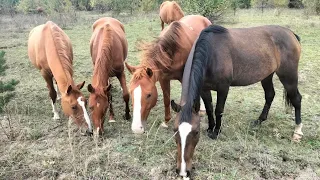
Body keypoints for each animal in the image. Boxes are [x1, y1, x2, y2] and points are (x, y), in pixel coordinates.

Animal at [171, 24, 302, 178]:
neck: (211, 53)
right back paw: (259, 120)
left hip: (288, 76)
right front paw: (210, 127)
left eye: (196, 132)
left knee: (297, 99)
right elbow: (209, 108)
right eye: (175, 130)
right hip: (267, 75)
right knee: (270, 95)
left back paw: (297, 132)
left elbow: (218, 110)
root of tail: (290, 33)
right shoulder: (204, 89)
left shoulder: (223, 87)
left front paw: (216, 131)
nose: (183, 171)